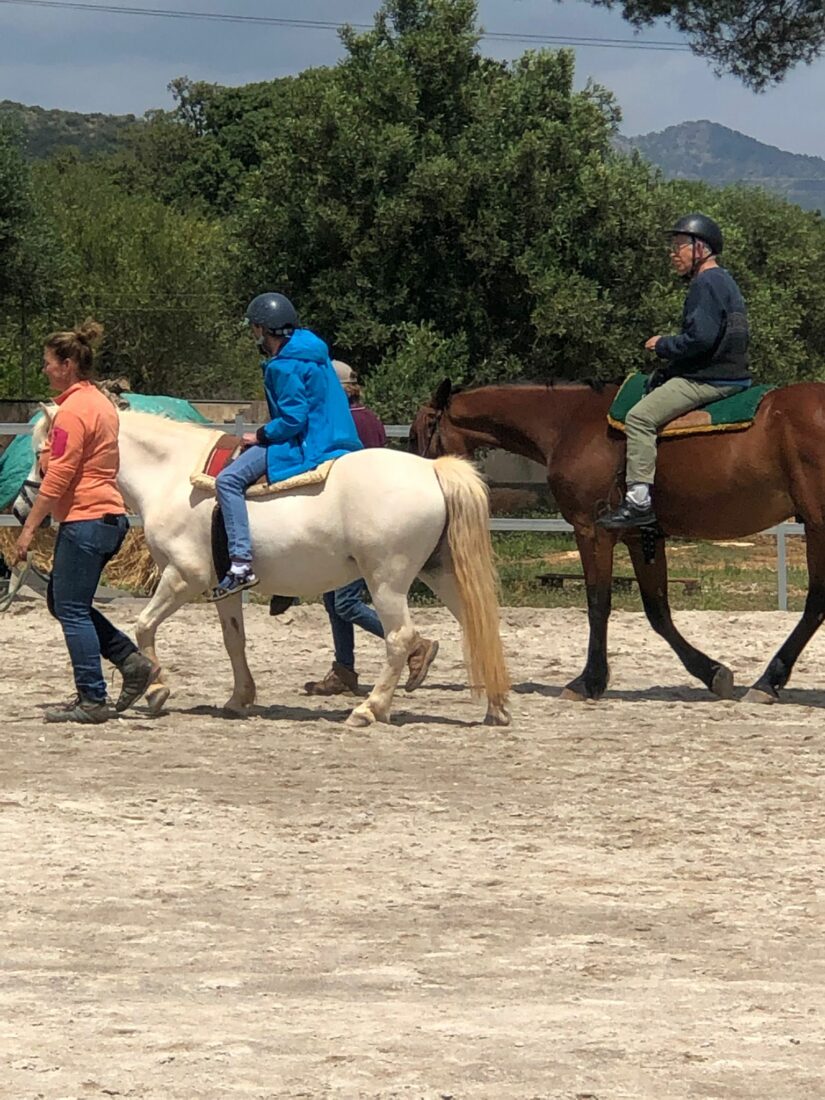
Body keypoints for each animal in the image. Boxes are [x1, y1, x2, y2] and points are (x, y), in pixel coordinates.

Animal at [16, 409, 510, 726]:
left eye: (43, 449)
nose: (22, 508)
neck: (171, 474)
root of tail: (432, 470)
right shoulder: (226, 586)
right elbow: (234, 640)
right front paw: (240, 698)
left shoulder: (184, 577)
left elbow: (143, 625)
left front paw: (155, 690)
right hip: (441, 574)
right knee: (476, 624)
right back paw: (496, 706)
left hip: (386, 581)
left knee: (401, 638)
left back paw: (369, 709)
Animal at [413, 378, 825, 704]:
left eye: (421, 431)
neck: (568, 423)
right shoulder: (641, 537)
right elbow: (658, 612)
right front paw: (712, 672)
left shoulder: (592, 531)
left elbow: (598, 604)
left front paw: (588, 682)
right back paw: (768, 681)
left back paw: (768, 681)